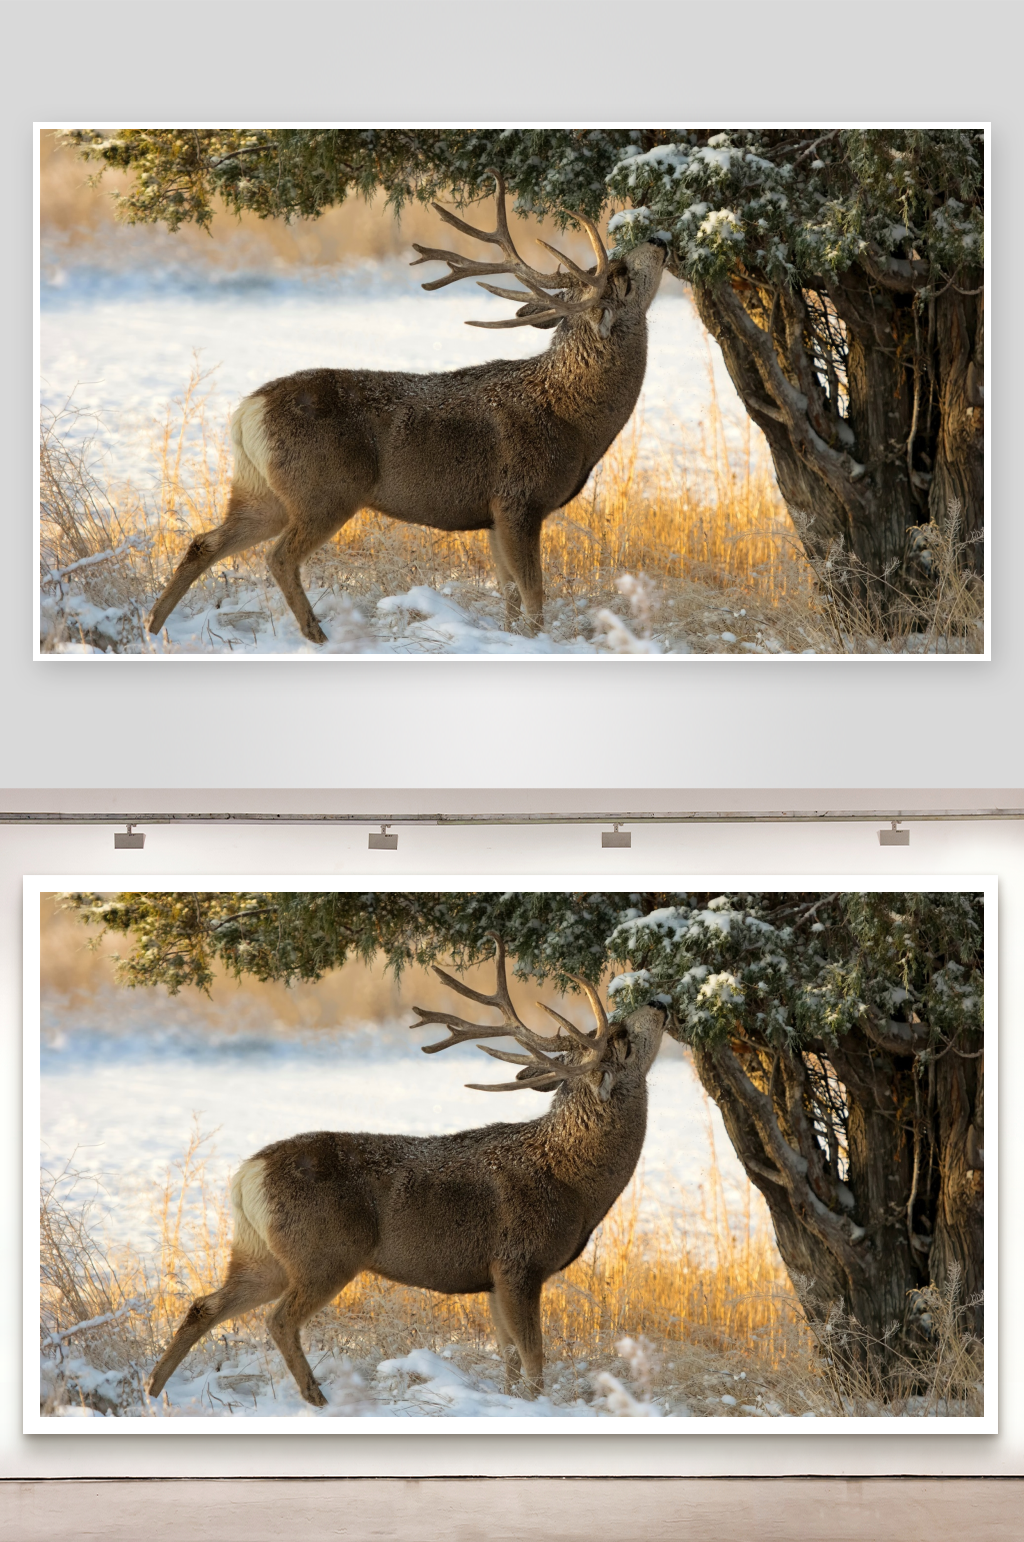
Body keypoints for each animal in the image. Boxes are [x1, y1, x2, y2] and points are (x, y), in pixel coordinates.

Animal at [146, 171, 667, 643]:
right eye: (620, 276)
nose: (659, 238)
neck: (572, 418)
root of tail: (247, 411)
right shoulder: (519, 499)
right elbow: (534, 594)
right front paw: (538, 642)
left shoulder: (493, 514)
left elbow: (510, 597)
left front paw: (511, 637)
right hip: (325, 489)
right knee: (278, 556)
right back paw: (316, 635)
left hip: (261, 490)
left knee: (204, 542)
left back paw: (153, 627)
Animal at [146, 936, 668, 1408]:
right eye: (620, 1039)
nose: (659, 1001)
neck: (572, 1181)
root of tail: (247, 1174)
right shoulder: (519, 1262)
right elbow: (534, 1360)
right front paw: (538, 1407)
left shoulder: (493, 1277)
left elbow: (510, 1362)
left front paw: (512, 1401)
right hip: (326, 1252)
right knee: (278, 1320)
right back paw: (317, 1398)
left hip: (261, 1254)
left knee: (204, 1305)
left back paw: (153, 1390)